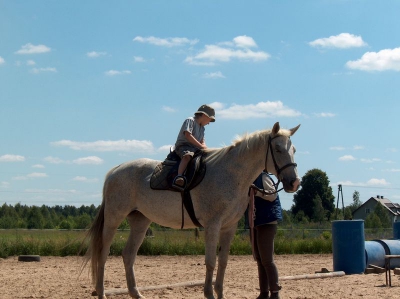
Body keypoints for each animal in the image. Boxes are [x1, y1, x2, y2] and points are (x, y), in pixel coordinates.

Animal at [86, 122, 302, 299]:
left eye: (293, 149)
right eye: (277, 148)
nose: (294, 183)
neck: (230, 174)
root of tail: (116, 170)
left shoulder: (229, 227)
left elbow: (224, 261)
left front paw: (220, 293)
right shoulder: (213, 226)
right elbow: (211, 261)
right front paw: (209, 294)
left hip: (140, 222)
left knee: (128, 255)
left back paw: (136, 293)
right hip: (114, 219)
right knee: (103, 253)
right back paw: (102, 293)